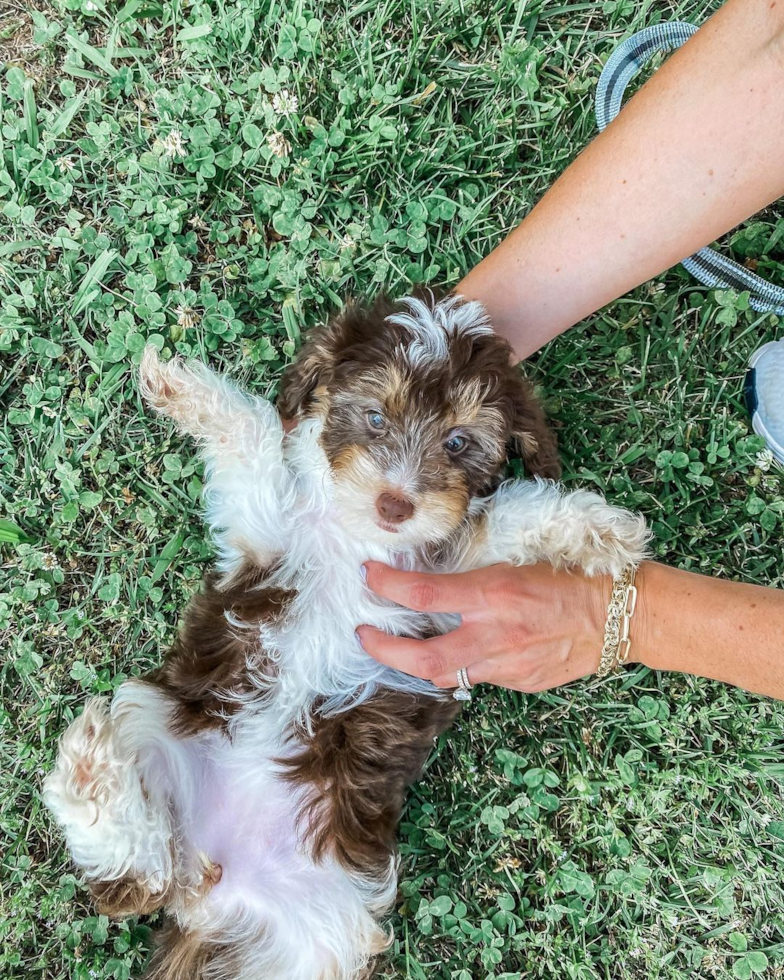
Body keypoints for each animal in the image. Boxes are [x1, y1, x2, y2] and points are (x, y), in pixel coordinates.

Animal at [43, 292, 648, 980]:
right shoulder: (269, 532)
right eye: (376, 418)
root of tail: (206, 880)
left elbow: (506, 518)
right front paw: (181, 383)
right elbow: (254, 434)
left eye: (458, 441)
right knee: (134, 878)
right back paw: (92, 777)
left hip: (315, 936)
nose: (395, 504)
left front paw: (604, 529)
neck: (358, 537)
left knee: (145, 885)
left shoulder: (449, 583)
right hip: (157, 720)